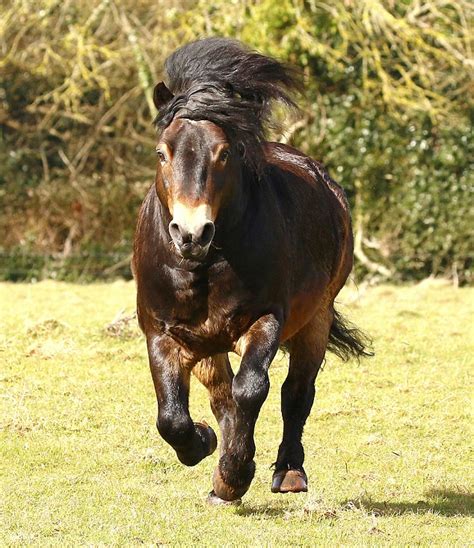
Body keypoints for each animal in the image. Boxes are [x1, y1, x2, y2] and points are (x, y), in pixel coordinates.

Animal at [133, 36, 370, 504]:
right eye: (162, 153)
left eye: (225, 152)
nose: (191, 233)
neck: (203, 265)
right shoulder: (162, 333)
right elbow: (173, 416)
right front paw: (208, 446)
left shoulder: (265, 319)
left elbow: (252, 390)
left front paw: (233, 474)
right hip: (208, 343)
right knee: (221, 396)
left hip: (315, 320)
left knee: (295, 394)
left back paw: (288, 473)